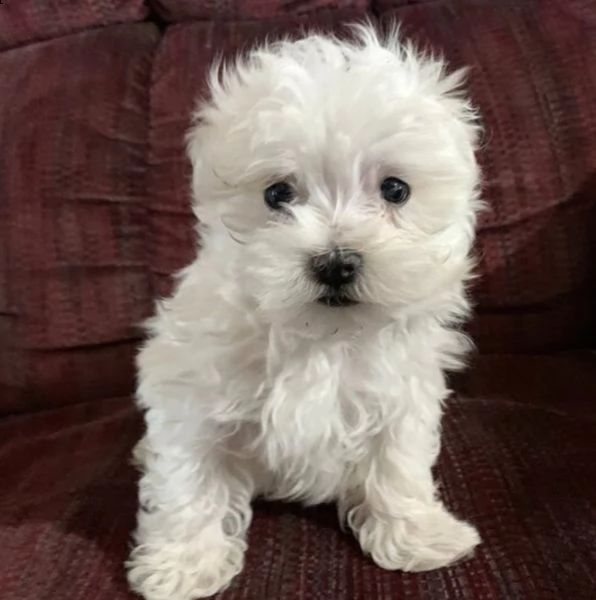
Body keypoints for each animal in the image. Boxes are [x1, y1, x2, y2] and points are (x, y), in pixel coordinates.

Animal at [128, 23, 482, 600]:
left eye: (396, 189)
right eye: (277, 194)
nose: (335, 264)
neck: (321, 337)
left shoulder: (402, 394)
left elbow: (397, 465)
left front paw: (418, 536)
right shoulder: (191, 396)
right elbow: (189, 480)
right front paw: (183, 566)